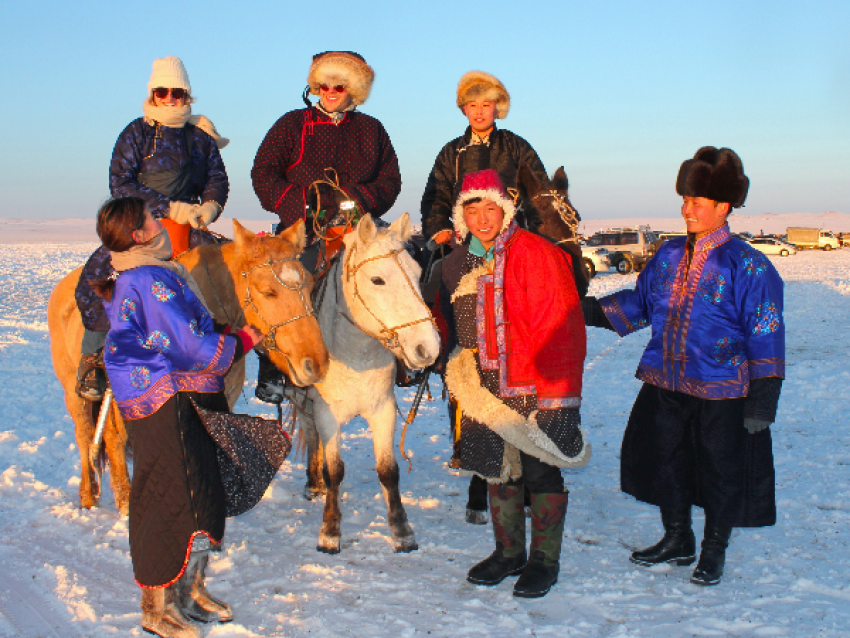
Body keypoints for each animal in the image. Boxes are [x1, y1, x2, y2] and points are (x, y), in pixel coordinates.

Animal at [48, 220, 328, 516]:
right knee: (89, 436)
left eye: (310, 286)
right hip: (78, 395)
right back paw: (92, 496)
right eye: (268, 292)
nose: (316, 364)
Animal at [290, 214, 440, 556]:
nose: (428, 348)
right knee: (310, 435)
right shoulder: (327, 415)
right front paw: (330, 532)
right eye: (377, 280)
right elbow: (335, 470)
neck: (355, 355)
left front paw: (401, 530)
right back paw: (313, 483)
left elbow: (388, 470)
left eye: (416, 273)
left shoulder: (382, 410)